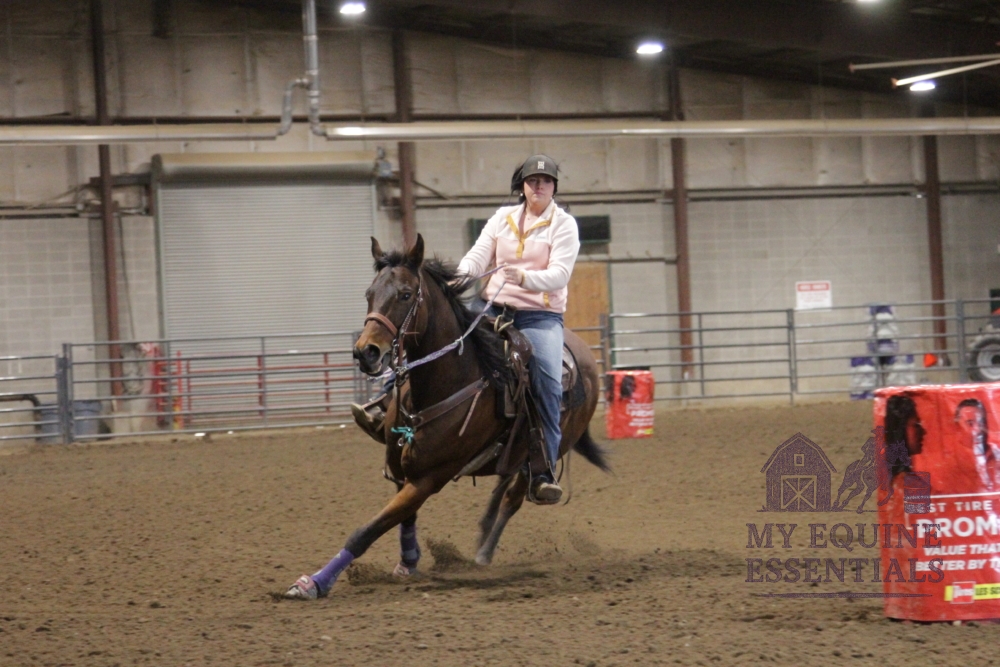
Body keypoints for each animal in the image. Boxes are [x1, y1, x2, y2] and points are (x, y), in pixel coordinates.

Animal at [285, 234, 609, 599]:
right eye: (369, 293)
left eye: (405, 294)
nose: (365, 352)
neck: (447, 382)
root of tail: (584, 356)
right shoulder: (399, 468)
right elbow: (403, 517)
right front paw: (408, 561)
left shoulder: (430, 478)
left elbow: (368, 530)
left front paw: (313, 583)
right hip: (515, 452)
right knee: (500, 490)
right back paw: (481, 539)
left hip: (544, 454)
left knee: (513, 498)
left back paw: (485, 552)